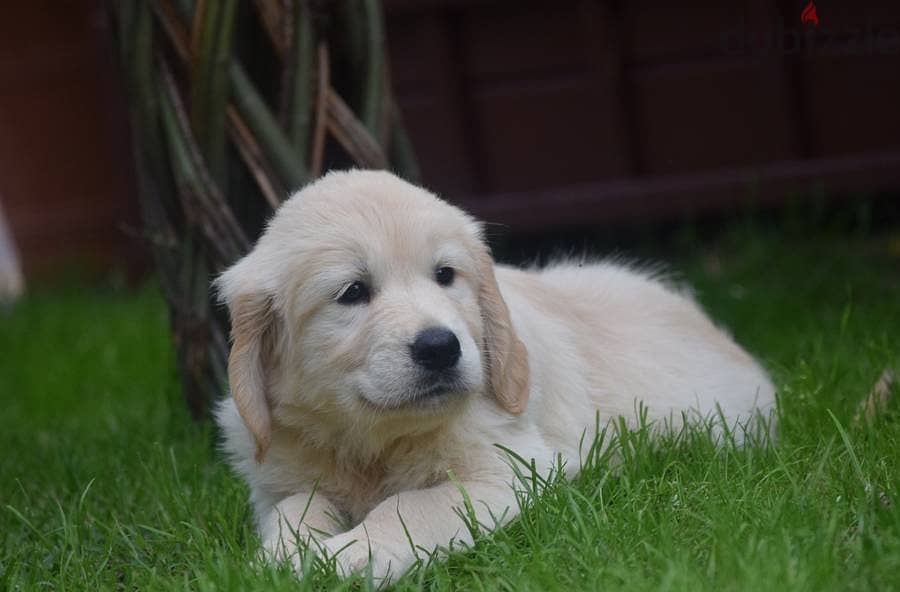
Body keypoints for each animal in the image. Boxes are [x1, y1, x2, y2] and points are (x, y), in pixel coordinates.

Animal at [213, 169, 772, 580]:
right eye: (353, 292)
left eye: (445, 275)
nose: (441, 347)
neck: (371, 445)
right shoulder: (277, 481)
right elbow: (294, 508)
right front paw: (282, 557)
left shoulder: (512, 469)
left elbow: (414, 507)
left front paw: (351, 555)